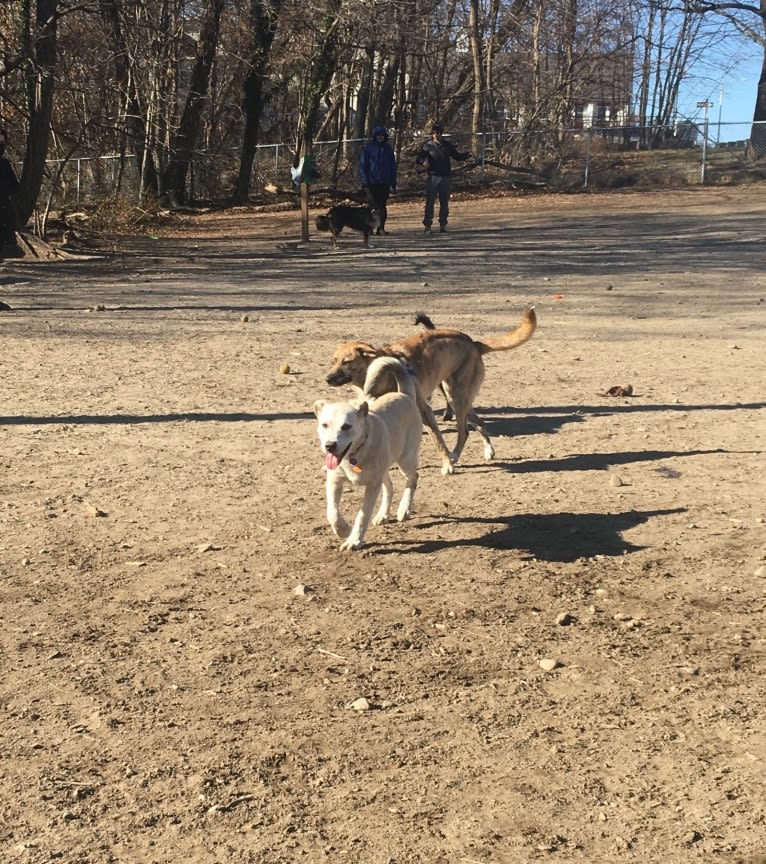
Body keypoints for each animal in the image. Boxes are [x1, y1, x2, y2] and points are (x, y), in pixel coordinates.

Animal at [316, 354, 424, 552]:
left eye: (346, 426)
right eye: (324, 424)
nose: (329, 446)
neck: (354, 455)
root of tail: (404, 394)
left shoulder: (372, 486)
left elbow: (363, 514)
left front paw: (354, 540)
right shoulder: (334, 481)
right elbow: (332, 512)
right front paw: (343, 530)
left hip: (405, 459)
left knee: (413, 479)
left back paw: (404, 509)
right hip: (384, 468)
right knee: (389, 487)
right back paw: (383, 515)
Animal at [328, 308, 536, 476]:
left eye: (347, 362)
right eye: (333, 361)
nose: (328, 379)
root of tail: (473, 343)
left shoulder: (423, 410)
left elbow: (438, 440)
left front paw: (446, 465)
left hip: (455, 396)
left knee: (464, 432)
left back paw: (454, 457)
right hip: (459, 399)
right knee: (479, 422)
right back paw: (488, 450)